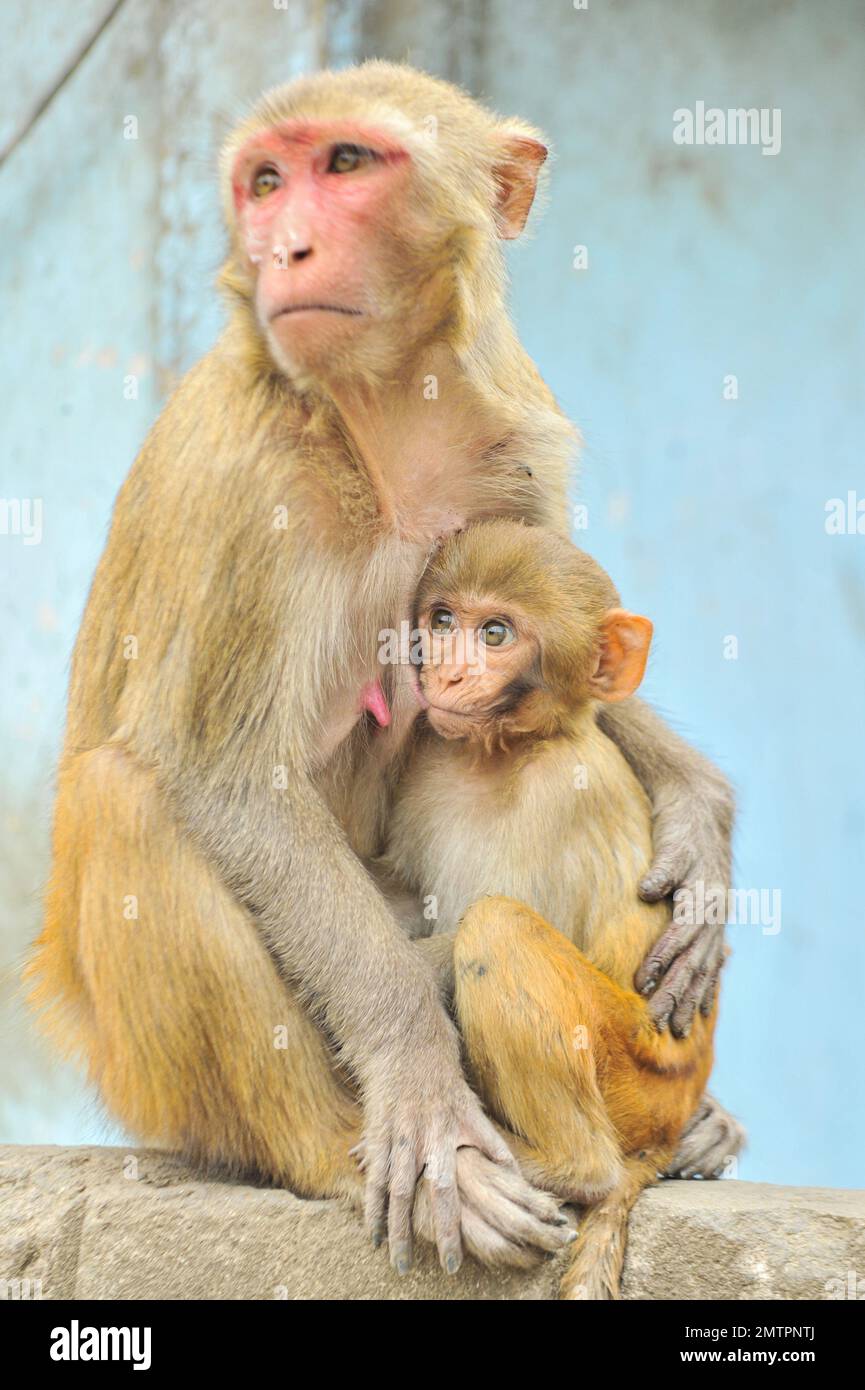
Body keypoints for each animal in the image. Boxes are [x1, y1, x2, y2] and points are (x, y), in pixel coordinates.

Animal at [377, 517, 718, 1298]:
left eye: (496, 633)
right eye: (444, 620)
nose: (444, 672)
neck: (500, 752)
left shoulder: (560, 794)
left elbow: (471, 929)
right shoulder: (426, 764)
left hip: (633, 1072)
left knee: (495, 929)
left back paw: (567, 1167)